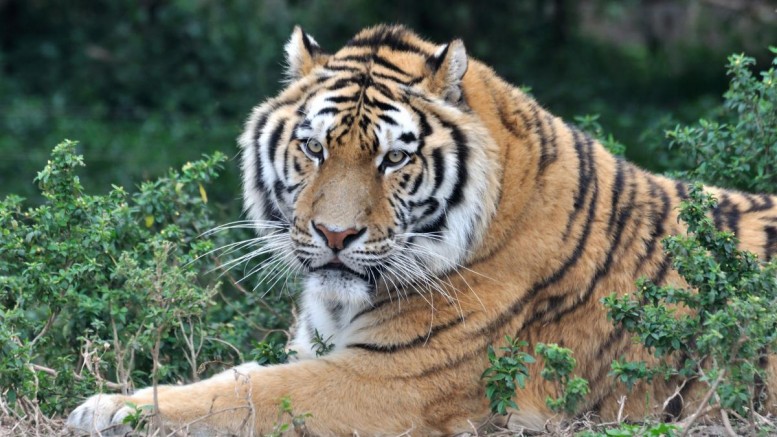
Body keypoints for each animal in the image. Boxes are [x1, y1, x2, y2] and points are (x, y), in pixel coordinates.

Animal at [68, 24, 776, 436]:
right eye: (314, 148)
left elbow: (248, 395)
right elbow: (241, 375)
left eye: (393, 159)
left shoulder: (389, 383)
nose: (334, 236)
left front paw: (108, 409)